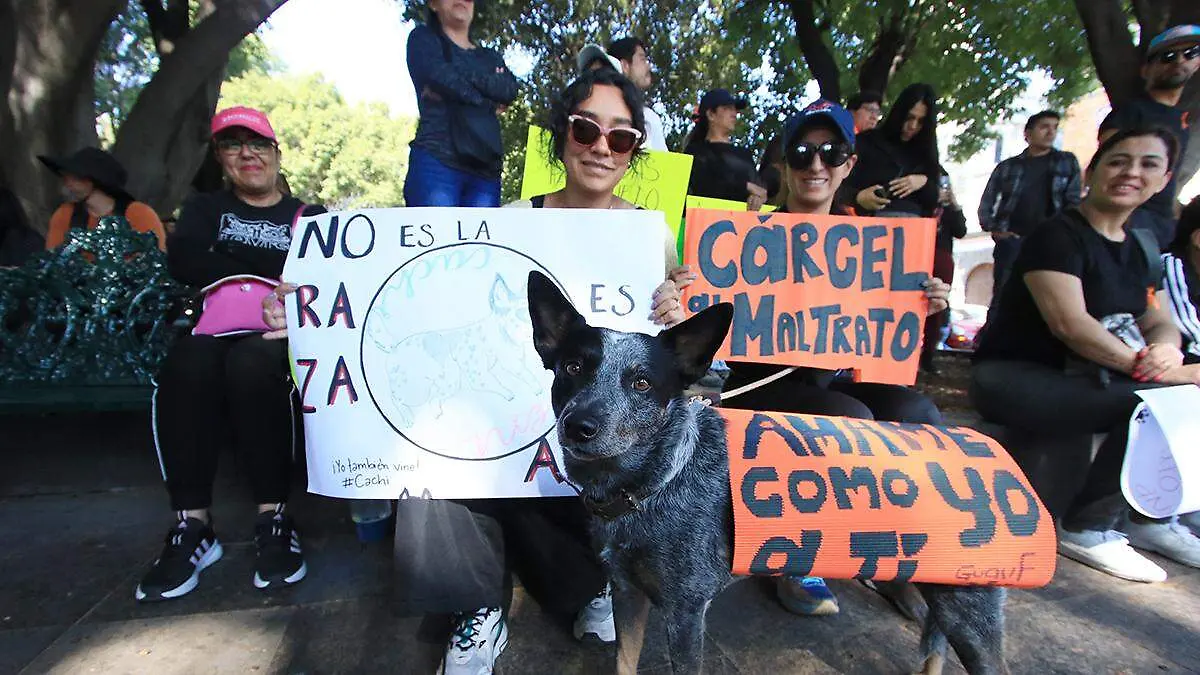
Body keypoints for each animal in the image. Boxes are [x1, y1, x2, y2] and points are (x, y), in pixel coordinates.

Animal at [530, 269, 1008, 672]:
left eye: (642, 383)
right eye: (573, 367)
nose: (578, 425)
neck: (651, 483)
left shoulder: (685, 613)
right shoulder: (628, 592)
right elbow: (625, 662)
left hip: (970, 614)